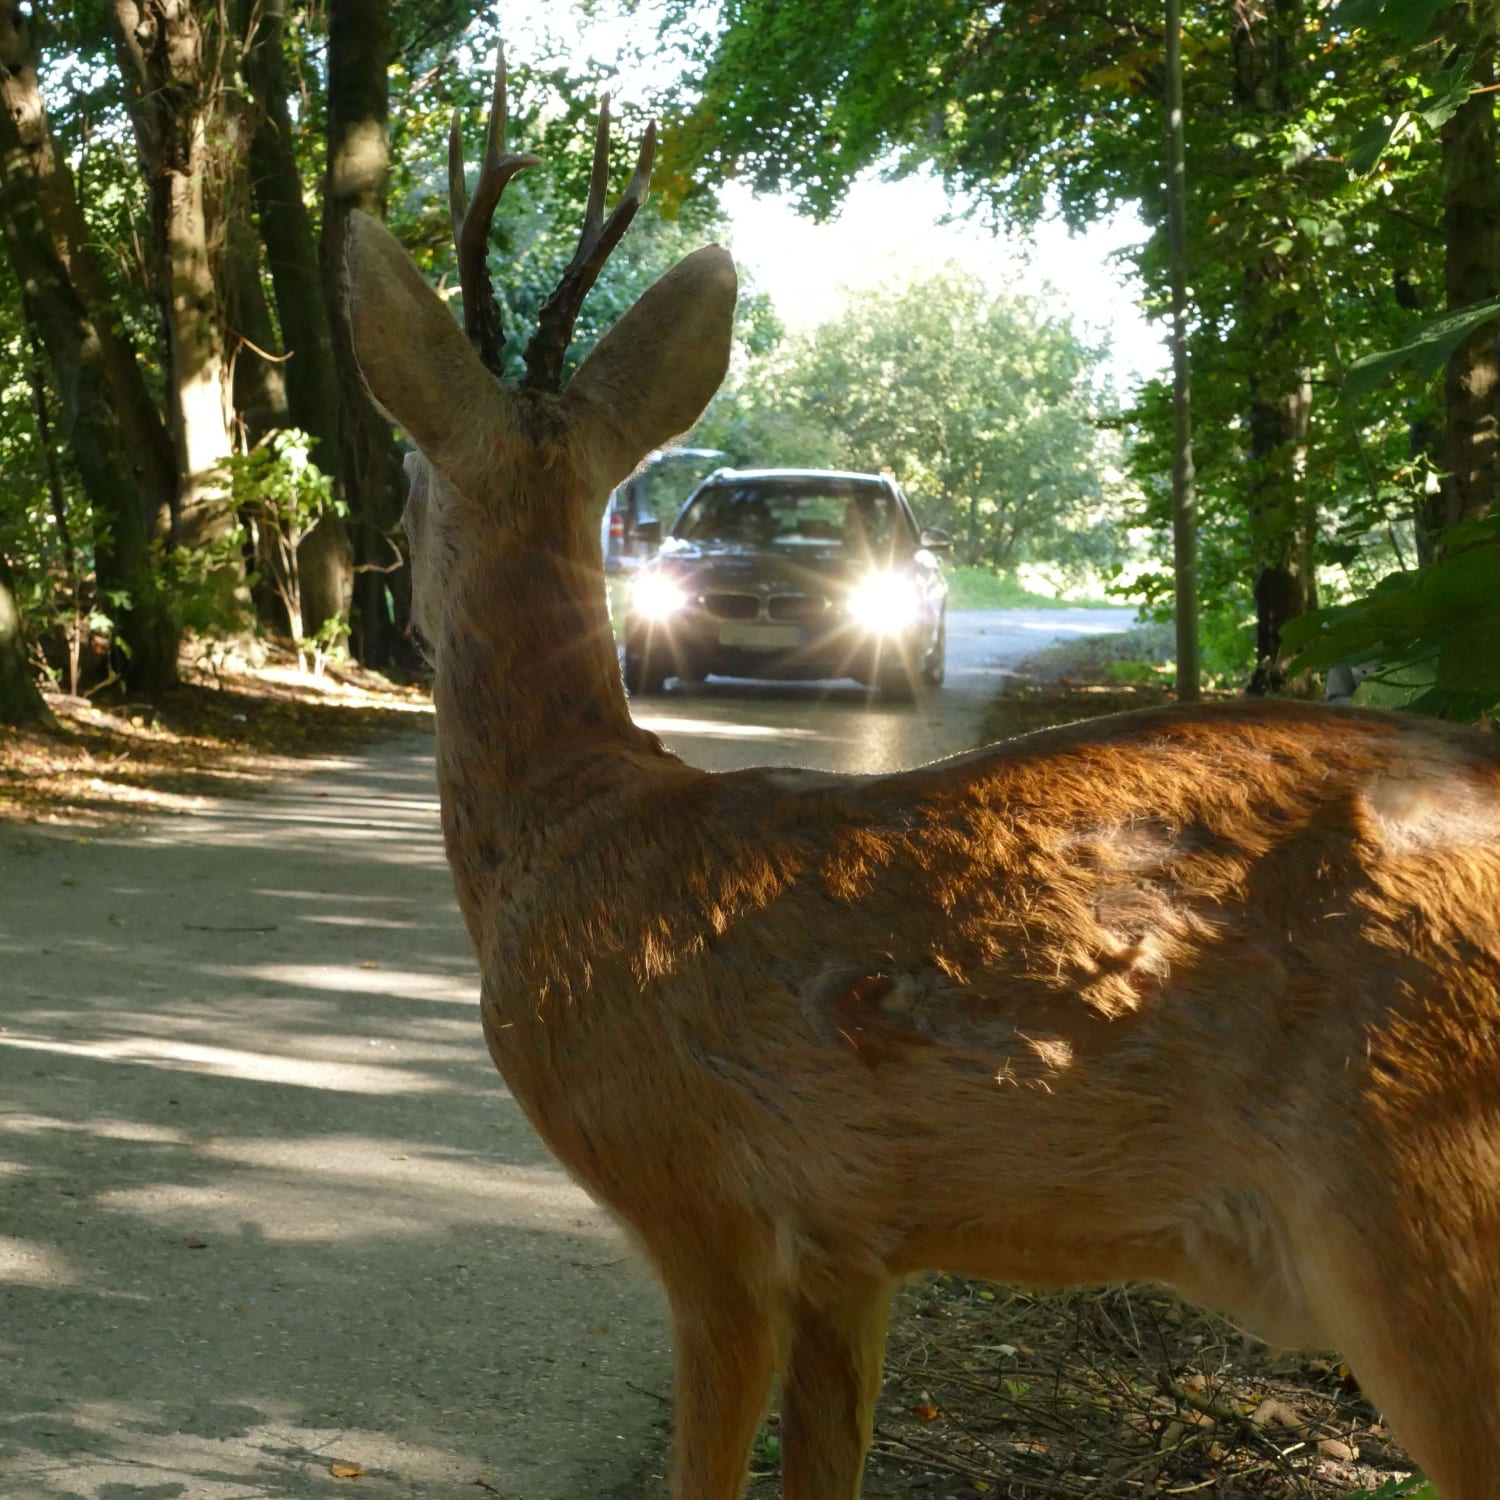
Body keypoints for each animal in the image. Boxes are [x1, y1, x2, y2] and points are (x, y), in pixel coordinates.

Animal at [345, 32, 1500, 1500]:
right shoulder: (856, 1248)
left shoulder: (709, 1203)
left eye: (407, 464)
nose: (383, 579)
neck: (569, 833)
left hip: (1421, 1205)